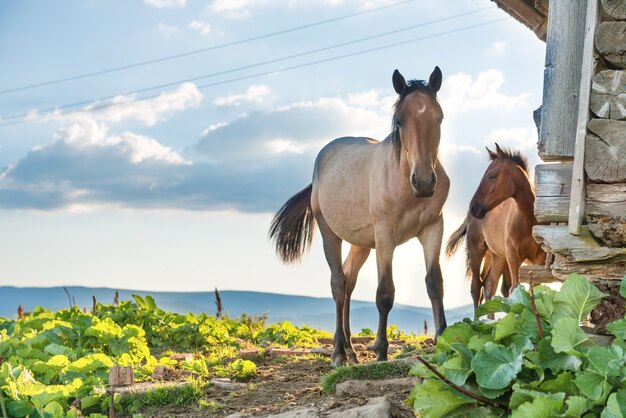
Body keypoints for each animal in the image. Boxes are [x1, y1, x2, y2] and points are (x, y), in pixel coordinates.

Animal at [268, 68, 448, 366]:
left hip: (361, 243)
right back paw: (339, 353)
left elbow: (434, 284)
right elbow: (385, 293)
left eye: (439, 117)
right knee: (338, 284)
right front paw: (381, 351)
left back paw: (351, 350)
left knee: (349, 280)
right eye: (400, 121)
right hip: (330, 233)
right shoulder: (385, 236)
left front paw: (447, 340)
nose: (423, 182)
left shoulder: (433, 229)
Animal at [446, 144, 544, 310]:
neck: (527, 220)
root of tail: (468, 217)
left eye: (491, 176)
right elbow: (515, 289)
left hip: (498, 256)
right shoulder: (513, 257)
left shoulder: (538, 259)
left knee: (489, 285)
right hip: (477, 252)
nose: (473, 207)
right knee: (476, 288)